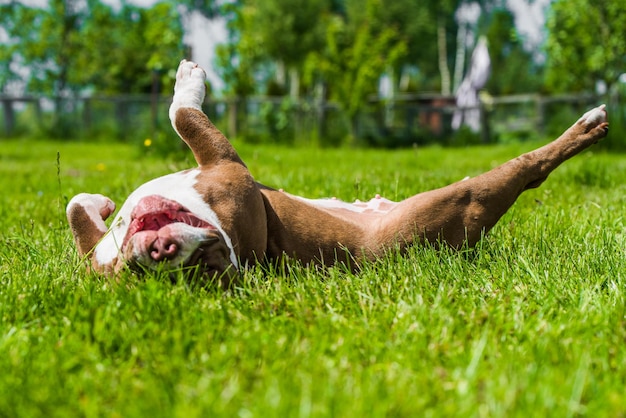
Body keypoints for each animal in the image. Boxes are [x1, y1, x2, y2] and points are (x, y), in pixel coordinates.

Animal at [66, 59, 608, 288]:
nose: (160, 252)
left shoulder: (98, 250)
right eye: (147, 273)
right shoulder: (228, 166)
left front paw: (99, 203)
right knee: (527, 168)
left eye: (207, 259)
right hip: (467, 196)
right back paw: (588, 126)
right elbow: (183, 114)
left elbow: (75, 207)